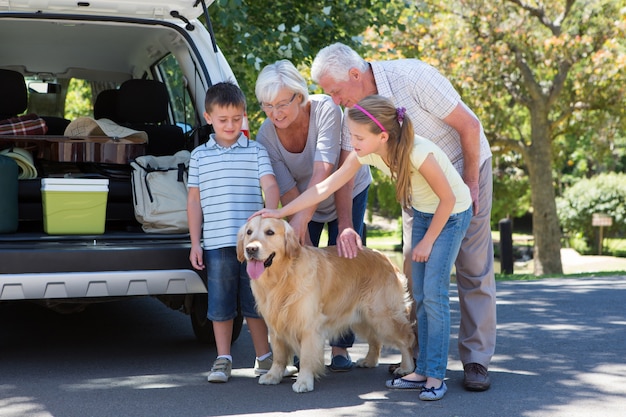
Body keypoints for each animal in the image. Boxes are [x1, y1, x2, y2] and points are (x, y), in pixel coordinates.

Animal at [236, 216, 416, 392]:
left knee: (406, 338)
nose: (250, 249)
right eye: (249, 232)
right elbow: (279, 355)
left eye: (270, 232)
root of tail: (385, 258)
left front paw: (304, 381)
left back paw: (406, 368)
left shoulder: (309, 326)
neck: (283, 276)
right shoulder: (275, 324)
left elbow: (306, 357)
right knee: (375, 339)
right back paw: (369, 361)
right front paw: (273, 375)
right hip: (363, 317)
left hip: (382, 316)